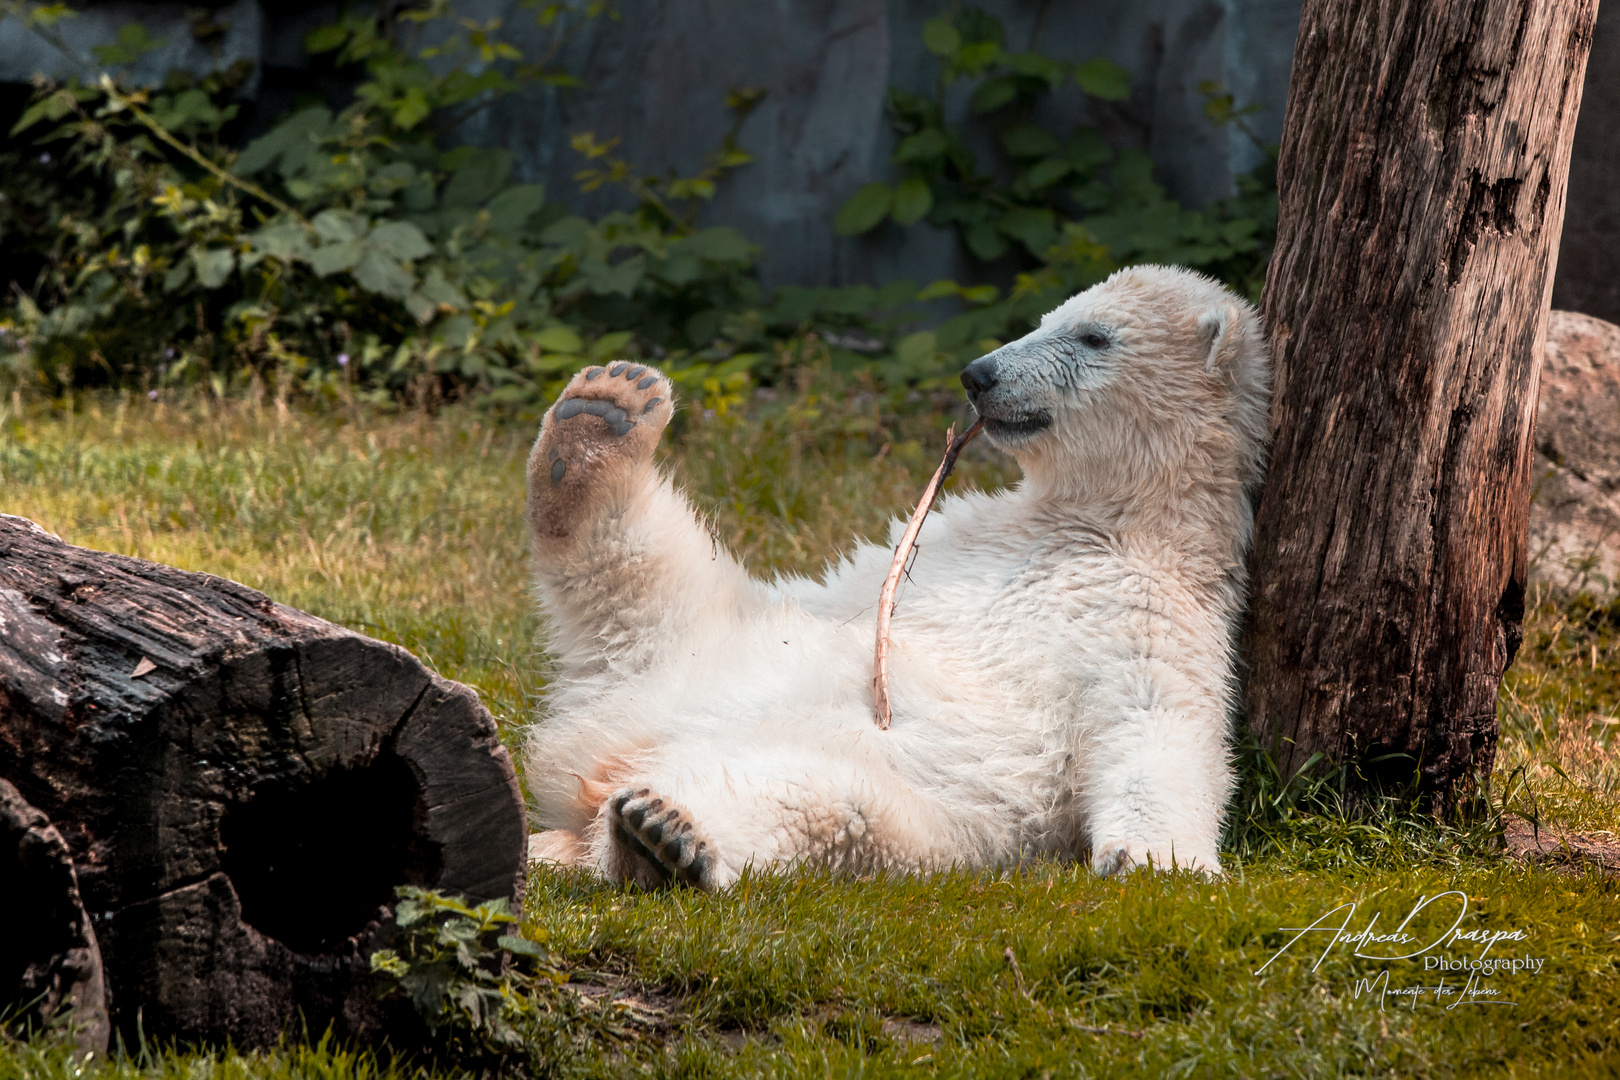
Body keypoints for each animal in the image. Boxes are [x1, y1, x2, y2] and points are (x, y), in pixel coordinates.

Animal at [524, 263, 1270, 887]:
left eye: (1093, 335)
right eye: (1046, 317)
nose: (979, 374)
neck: (1106, 521)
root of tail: (602, 762)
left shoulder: (1158, 607)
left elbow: (1158, 721)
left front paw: (1157, 860)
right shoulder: (936, 545)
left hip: (890, 792)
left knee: (806, 804)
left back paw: (661, 834)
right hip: (697, 642)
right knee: (650, 575)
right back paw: (598, 420)